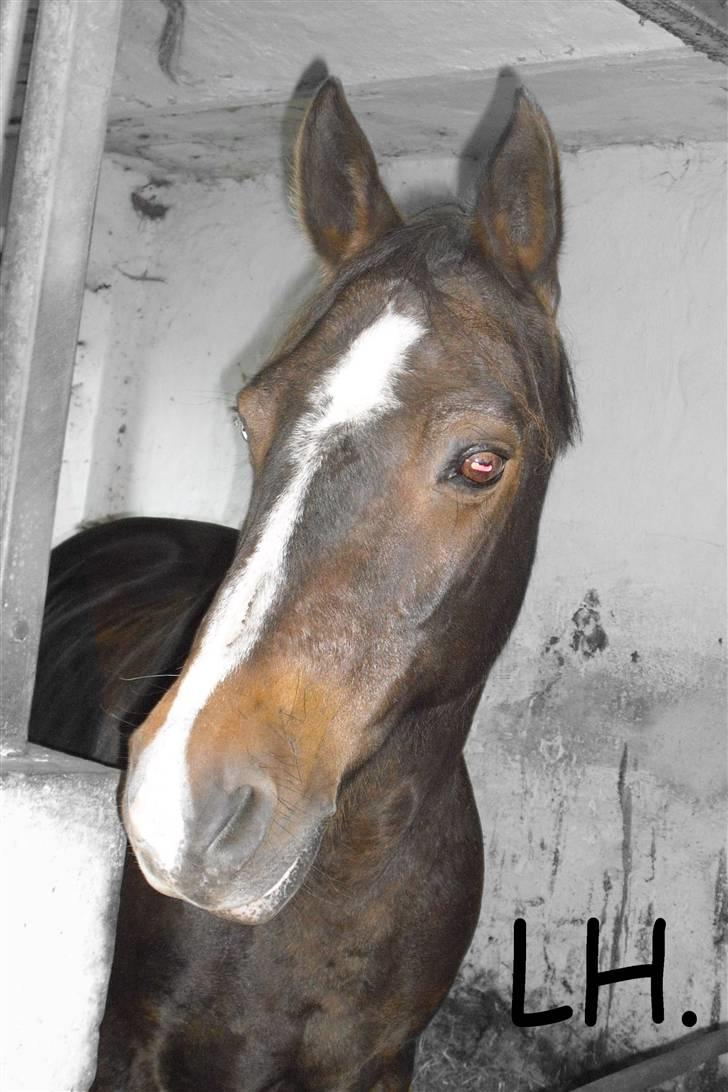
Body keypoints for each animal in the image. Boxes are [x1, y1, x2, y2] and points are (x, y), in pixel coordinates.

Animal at [31, 76, 578, 1090]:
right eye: (250, 416)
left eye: (483, 462)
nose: (182, 808)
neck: (348, 870)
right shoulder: (133, 1048)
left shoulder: (379, 1064)